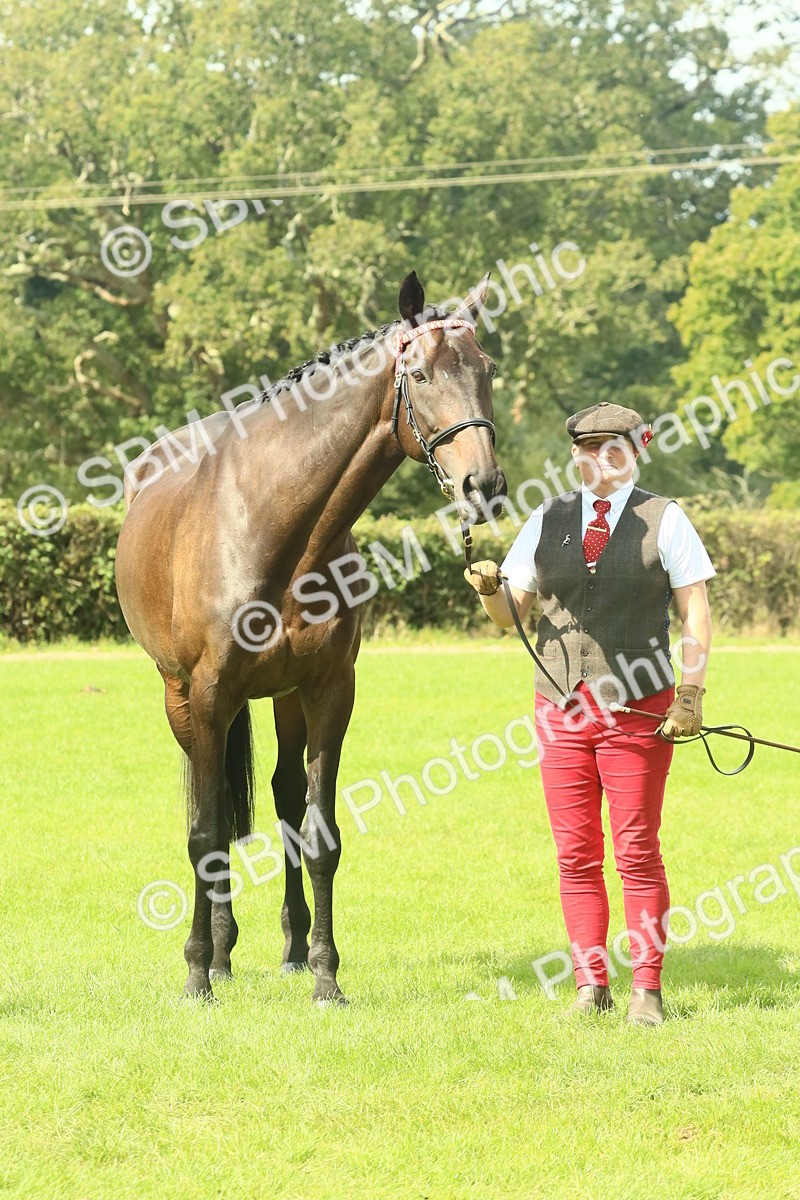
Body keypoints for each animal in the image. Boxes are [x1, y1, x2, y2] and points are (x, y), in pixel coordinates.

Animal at [115, 270, 507, 1003]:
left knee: (283, 798)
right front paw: (196, 974)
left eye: (486, 370)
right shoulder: (208, 692)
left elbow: (319, 831)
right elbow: (205, 831)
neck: (276, 524)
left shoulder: (328, 690)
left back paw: (289, 949)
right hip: (180, 697)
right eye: (420, 372)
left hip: (281, 697)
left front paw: (326, 975)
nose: (484, 486)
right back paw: (217, 954)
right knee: (212, 810)